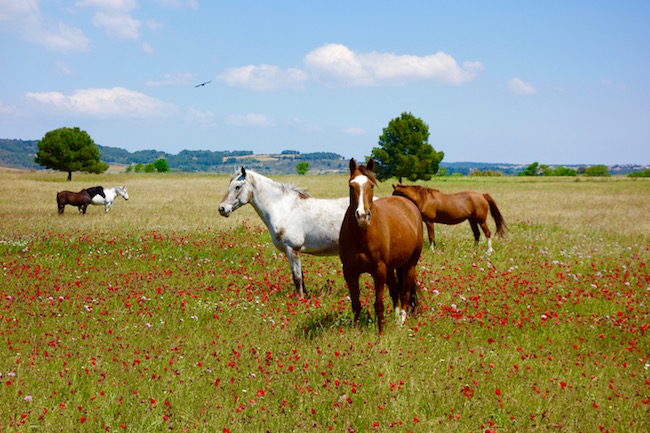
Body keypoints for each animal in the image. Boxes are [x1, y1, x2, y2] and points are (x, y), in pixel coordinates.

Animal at [218, 167, 350, 298]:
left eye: (237, 186)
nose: (222, 209)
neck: (284, 209)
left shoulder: (293, 249)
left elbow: (297, 278)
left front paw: (301, 299)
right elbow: (299, 277)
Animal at [336, 159, 422, 334]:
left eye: (371, 186)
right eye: (351, 185)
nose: (362, 216)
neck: (362, 235)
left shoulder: (379, 271)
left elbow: (379, 305)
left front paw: (380, 333)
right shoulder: (350, 271)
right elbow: (356, 304)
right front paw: (356, 330)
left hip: (409, 265)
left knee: (405, 294)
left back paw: (401, 322)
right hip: (390, 268)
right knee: (395, 293)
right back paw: (396, 320)